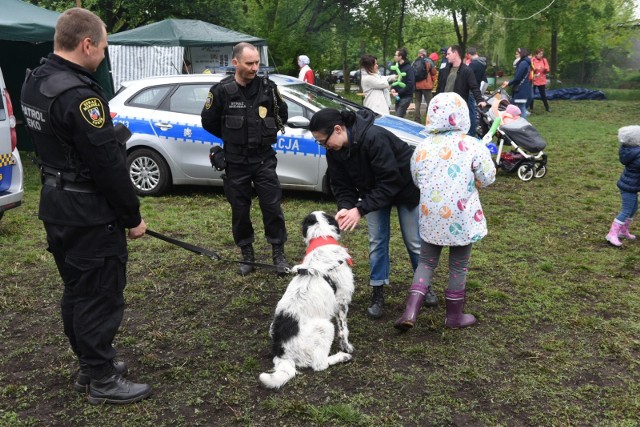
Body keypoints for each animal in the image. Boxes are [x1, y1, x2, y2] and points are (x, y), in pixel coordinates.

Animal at [262, 212, 360, 390]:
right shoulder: (342, 301)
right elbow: (344, 330)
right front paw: (347, 347)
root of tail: (281, 352)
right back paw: (341, 356)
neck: (321, 238)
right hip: (325, 327)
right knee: (319, 365)